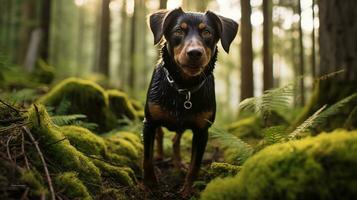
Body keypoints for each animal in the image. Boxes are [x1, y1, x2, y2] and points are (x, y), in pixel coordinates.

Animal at [143, 7, 238, 196]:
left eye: (207, 32)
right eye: (178, 31)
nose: (195, 53)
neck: (183, 87)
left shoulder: (202, 131)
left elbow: (195, 165)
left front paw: (188, 190)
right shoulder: (149, 122)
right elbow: (147, 159)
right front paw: (150, 186)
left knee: (175, 140)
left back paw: (179, 163)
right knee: (161, 134)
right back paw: (160, 156)